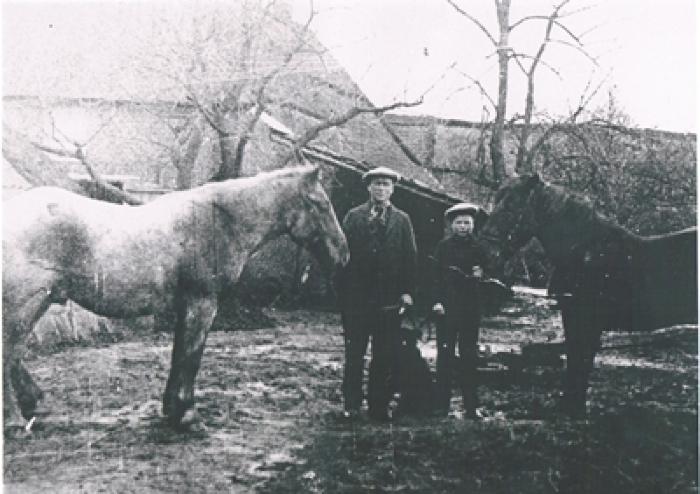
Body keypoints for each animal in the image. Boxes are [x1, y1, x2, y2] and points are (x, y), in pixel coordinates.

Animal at [3, 165, 349, 431]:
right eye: (320, 203)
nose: (343, 255)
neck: (219, 220)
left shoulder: (186, 305)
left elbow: (179, 353)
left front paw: (172, 410)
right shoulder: (202, 302)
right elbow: (191, 356)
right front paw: (188, 415)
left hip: (40, 302)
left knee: (15, 355)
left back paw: (33, 403)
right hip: (28, 302)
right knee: (10, 352)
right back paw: (15, 419)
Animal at [478, 174, 697, 415]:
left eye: (512, 206)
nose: (485, 253)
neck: (584, 251)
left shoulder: (584, 319)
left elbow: (580, 358)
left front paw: (573, 408)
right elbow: (576, 357)